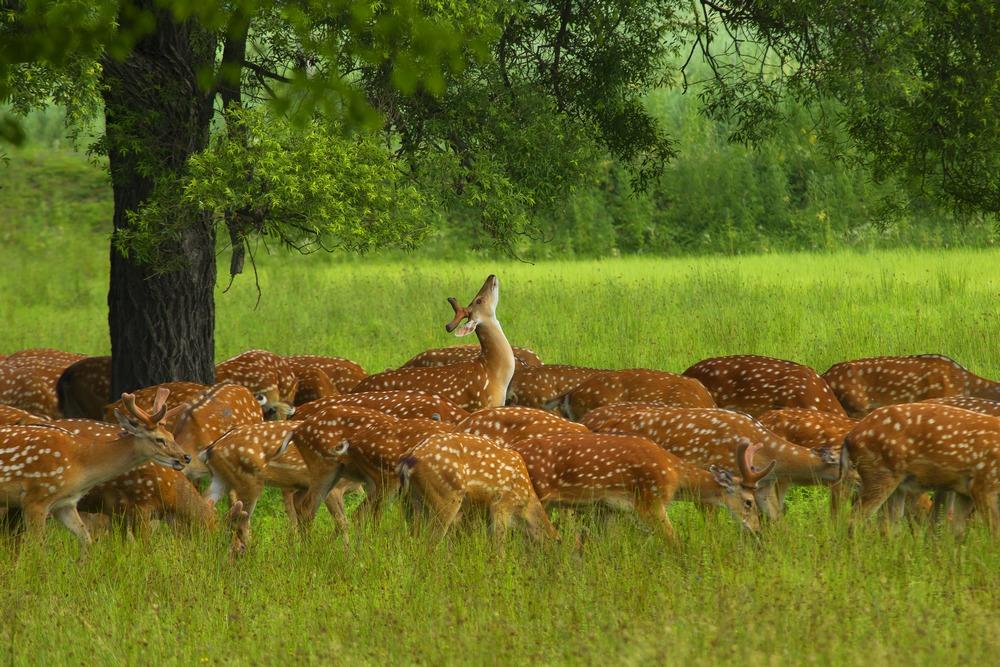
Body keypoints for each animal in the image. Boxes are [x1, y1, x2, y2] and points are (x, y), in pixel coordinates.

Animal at [0, 388, 189, 550]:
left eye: (172, 435)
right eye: (159, 439)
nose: (185, 457)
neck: (81, 464)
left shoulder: (65, 503)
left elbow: (86, 539)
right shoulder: (36, 498)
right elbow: (38, 549)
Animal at [396, 432, 557, 545]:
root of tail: (408, 460)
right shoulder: (501, 505)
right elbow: (498, 543)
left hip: (416, 500)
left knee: (415, 537)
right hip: (446, 495)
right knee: (431, 541)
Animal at [510, 433, 766, 538]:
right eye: (749, 502)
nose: (757, 530)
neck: (674, 475)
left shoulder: (611, 508)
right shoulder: (649, 500)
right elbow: (673, 539)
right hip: (537, 495)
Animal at [844, 402, 1000, 536]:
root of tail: (850, 437)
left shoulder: (965, 491)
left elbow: (957, 532)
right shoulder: (983, 484)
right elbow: (994, 533)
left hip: (896, 484)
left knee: (889, 528)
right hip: (879, 473)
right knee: (855, 519)